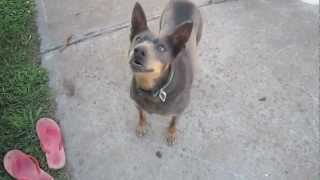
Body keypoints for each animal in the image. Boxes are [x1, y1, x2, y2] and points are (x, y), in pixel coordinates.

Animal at [128, 0, 201, 145]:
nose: (138, 50)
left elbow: (173, 122)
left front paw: (171, 133)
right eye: (138, 39)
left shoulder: (179, 111)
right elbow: (141, 114)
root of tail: (186, 1)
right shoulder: (137, 103)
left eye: (161, 48)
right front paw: (141, 125)